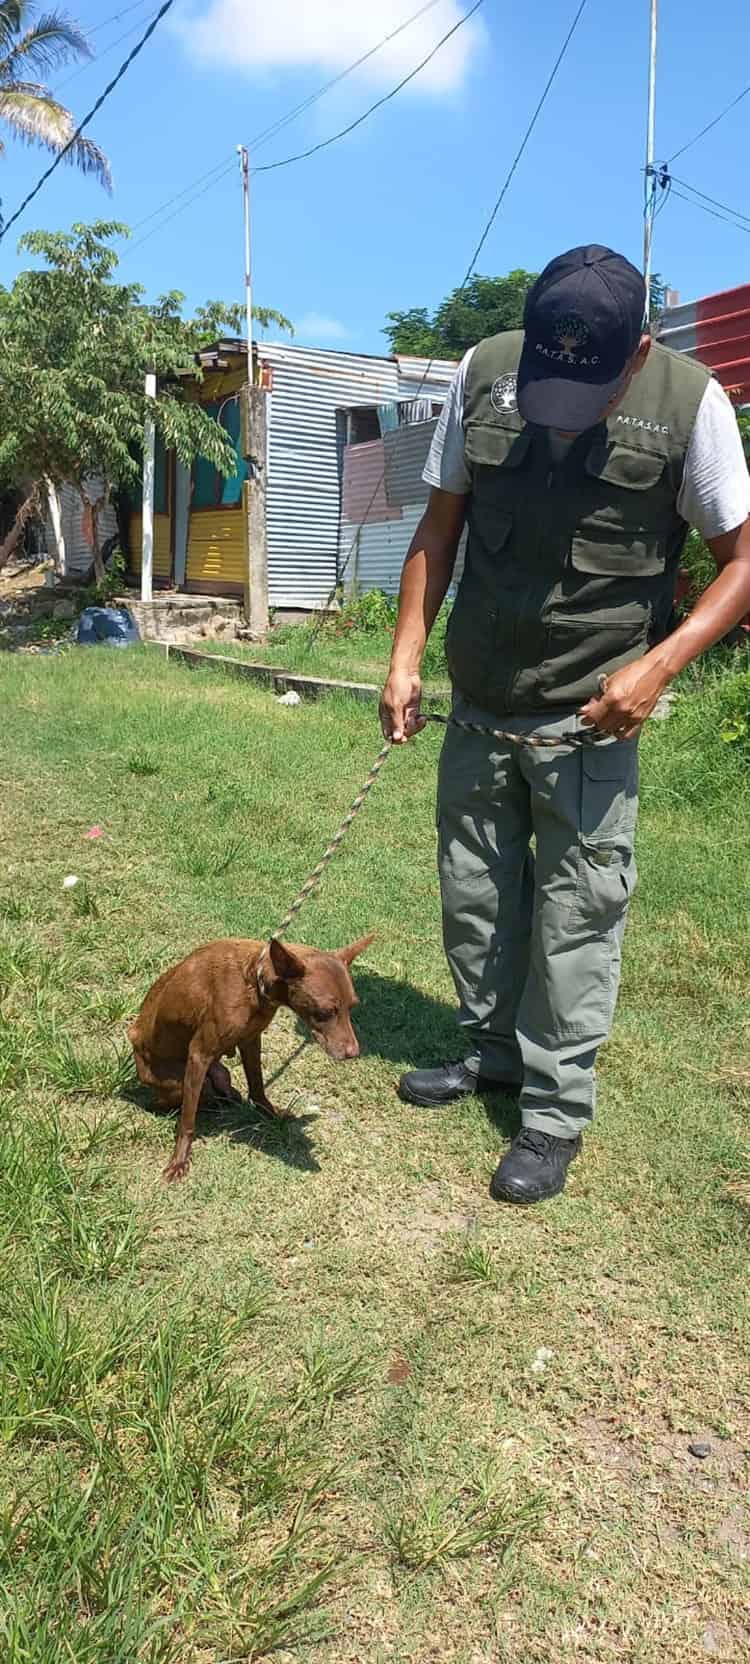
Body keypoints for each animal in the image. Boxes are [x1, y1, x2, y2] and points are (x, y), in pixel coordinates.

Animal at [131, 938, 375, 1184]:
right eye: (325, 1012)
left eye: (352, 1006)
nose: (354, 1053)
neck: (253, 980)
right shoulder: (199, 1054)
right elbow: (187, 1121)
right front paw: (179, 1160)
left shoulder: (251, 1041)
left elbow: (257, 1086)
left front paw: (269, 1113)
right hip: (180, 1081)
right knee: (175, 1101)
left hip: (221, 1073)